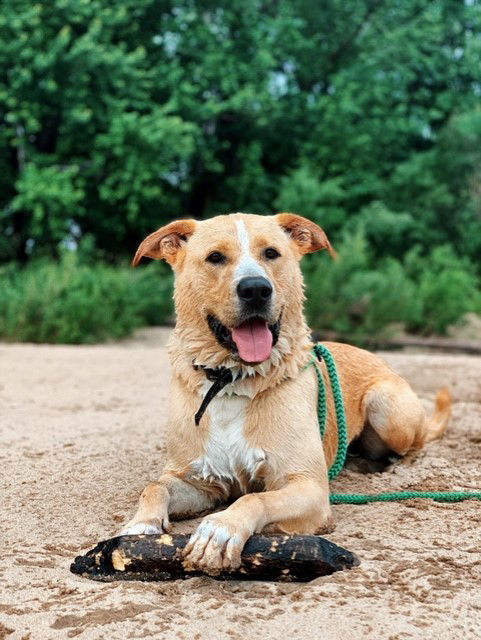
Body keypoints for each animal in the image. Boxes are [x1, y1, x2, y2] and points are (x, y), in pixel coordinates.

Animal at [121, 214, 450, 576]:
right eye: (215, 257)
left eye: (271, 253)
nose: (255, 289)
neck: (233, 381)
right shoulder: (200, 481)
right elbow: (154, 486)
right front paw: (141, 526)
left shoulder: (310, 488)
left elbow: (254, 498)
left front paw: (221, 529)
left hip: (387, 408)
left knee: (417, 442)